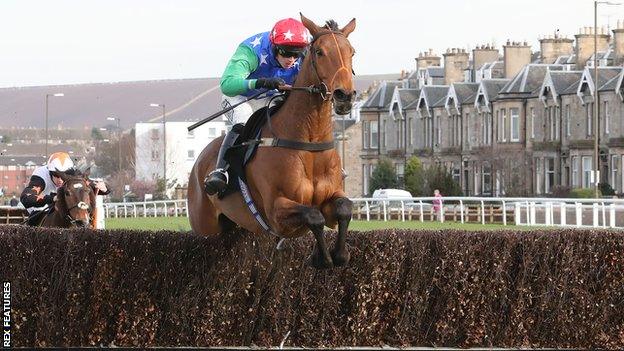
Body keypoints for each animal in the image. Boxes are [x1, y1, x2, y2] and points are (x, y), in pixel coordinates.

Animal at [188, 13, 356, 270]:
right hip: (205, 226)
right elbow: (313, 216)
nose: (344, 96)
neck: (308, 141)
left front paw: (338, 255)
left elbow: (344, 208)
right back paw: (216, 178)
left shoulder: (332, 196)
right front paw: (323, 257)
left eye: (352, 51)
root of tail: (199, 161)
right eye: (319, 52)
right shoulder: (276, 212)